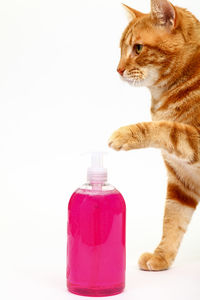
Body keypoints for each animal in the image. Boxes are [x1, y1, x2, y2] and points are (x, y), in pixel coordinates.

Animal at [108, 0, 200, 272]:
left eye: (137, 48)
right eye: (121, 49)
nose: (118, 69)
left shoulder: (193, 139)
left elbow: (165, 128)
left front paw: (125, 134)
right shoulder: (181, 182)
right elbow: (172, 222)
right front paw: (162, 257)